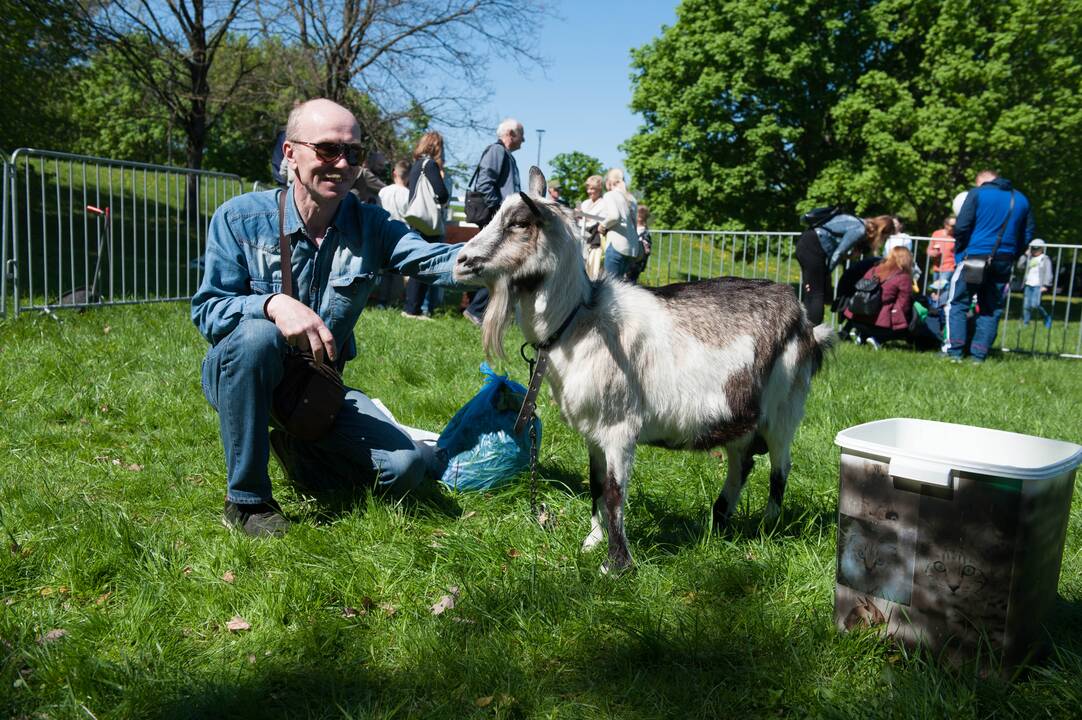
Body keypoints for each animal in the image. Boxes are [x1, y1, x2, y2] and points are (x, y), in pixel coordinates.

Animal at [452, 168, 830, 571]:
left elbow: (615, 492)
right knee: (742, 462)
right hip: (740, 416)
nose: (461, 262)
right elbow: (596, 484)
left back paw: (768, 525)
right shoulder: (593, 431)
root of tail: (804, 318)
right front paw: (591, 542)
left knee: (780, 468)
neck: (578, 322)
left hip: (785, 410)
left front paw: (615, 565)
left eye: (520, 222)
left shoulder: (620, 428)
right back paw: (719, 521)